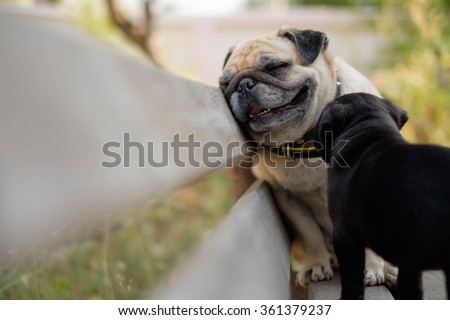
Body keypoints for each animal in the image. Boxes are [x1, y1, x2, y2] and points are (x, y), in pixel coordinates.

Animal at [218, 27, 390, 286]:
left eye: (277, 67)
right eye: (225, 84)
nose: (244, 85)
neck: (308, 141)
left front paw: (372, 268)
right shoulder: (291, 201)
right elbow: (311, 235)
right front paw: (316, 265)